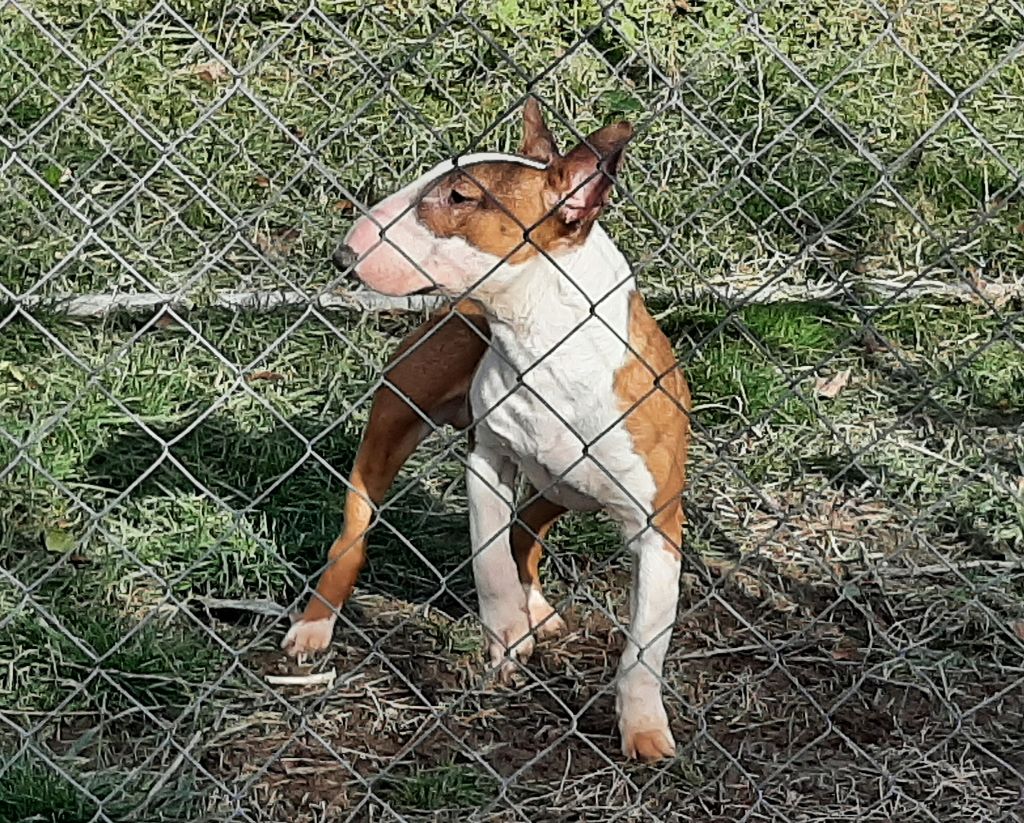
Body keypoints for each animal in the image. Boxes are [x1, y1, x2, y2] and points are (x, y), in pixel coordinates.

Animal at [284, 99, 692, 761]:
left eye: (460, 197)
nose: (344, 253)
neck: (541, 342)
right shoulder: (487, 461)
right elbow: (488, 558)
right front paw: (505, 631)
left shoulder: (657, 527)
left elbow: (644, 645)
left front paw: (644, 729)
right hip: (392, 424)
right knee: (357, 532)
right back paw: (317, 623)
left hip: (562, 485)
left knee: (528, 533)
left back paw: (540, 609)